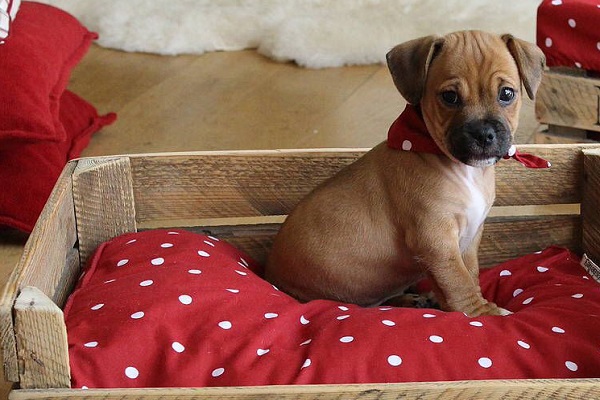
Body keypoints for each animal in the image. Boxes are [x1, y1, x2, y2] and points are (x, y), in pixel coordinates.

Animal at [264, 31, 548, 318]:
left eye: (506, 94)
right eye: (450, 97)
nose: (483, 134)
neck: (463, 169)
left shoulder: (468, 238)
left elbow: (469, 273)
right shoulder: (435, 238)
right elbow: (458, 281)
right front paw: (481, 313)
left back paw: (414, 300)